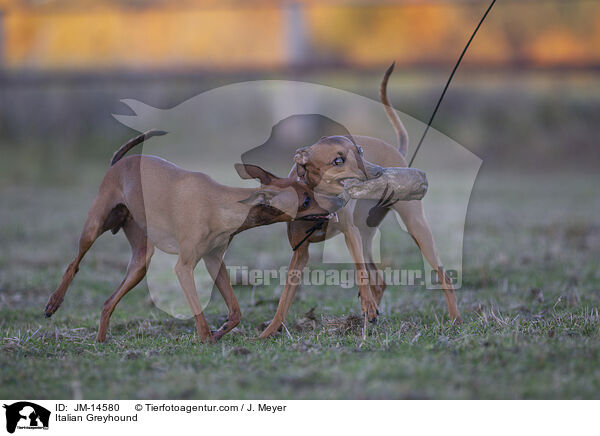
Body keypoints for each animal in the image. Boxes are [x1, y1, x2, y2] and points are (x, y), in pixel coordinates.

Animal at [45, 131, 340, 342]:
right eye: (305, 200)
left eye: (308, 188)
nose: (336, 203)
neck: (221, 204)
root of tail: (119, 162)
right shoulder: (184, 267)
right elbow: (198, 310)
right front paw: (206, 338)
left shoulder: (214, 261)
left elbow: (236, 312)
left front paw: (221, 331)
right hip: (95, 227)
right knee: (74, 263)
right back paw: (53, 302)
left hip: (140, 263)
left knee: (108, 303)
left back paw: (100, 340)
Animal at [260, 63, 462, 338]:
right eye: (338, 160)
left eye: (361, 151)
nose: (378, 172)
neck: (320, 205)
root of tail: (398, 152)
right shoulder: (300, 252)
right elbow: (284, 298)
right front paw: (269, 330)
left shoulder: (350, 234)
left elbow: (360, 275)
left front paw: (367, 305)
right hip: (367, 238)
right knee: (380, 280)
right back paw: (371, 316)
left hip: (415, 228)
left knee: (443, 277)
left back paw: (453, 319)